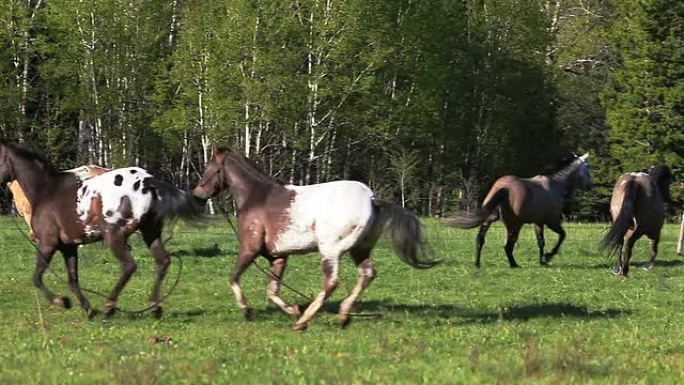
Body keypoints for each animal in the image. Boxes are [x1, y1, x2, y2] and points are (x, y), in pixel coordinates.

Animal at [0, 141, 199, 318]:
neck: (46, 191)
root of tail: (147, 181)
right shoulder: (68, 246)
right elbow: (73, 280)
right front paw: (88, 310)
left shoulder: (48, 243)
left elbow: (37, 277)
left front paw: (62, 302)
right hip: (150, 232)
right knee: (162, 261)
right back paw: (154, 307)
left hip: (115, 236)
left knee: (129, 265)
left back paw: (110, 306)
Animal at [192, 146, 438, 328]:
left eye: (209, 167)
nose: (198, 194)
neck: (256, 197)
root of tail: (371, 200)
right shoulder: (278, 257)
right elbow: (272, 290)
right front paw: (292, 308)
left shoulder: (249, 248)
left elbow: (233, 277)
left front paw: (248, 311)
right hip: (359, 249)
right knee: (367, 273)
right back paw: (342, 315)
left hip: (330, 250)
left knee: (331, 282)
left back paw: (303, 321)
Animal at [446, 153, 592, 268]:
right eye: (587, 168)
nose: (590, 186)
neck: (554, 185)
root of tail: (505, 187)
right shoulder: (551, 221)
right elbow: (562, 236)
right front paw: (549, 256)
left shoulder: (538, 222)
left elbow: (541, 242)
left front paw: (542, 261)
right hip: (515, 224)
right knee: (508, 245)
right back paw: (514, 264)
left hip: (489, 219)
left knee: (480, 240)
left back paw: (477, 264)